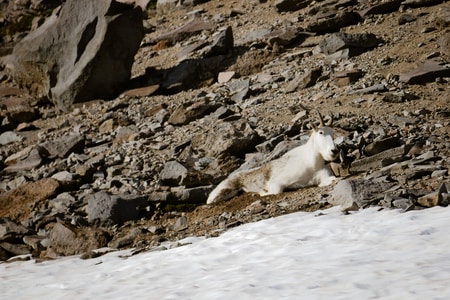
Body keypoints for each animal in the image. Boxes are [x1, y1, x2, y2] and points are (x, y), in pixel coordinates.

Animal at [207, 111, 338, 205]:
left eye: (332, 133)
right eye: (321, 132)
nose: (334, 151)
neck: (312, 164)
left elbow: (333, 179)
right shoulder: (277, 183)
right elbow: (275, 191)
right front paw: (262, 191)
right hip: (224, 191)